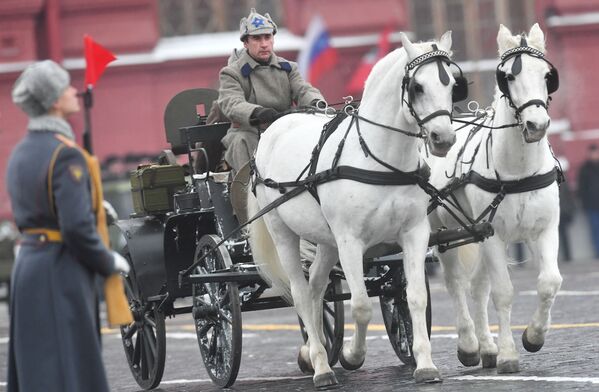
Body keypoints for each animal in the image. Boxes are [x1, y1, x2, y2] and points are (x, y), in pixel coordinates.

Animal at [248, 31, 464, 388]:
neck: (381, 160)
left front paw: (425, 365)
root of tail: (277, 124)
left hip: (326, 241)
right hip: (285, 234)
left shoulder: (414, 233)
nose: (443, 138)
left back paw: (316, 352)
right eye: (417, 87)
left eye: (452, 84)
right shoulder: (350, 241)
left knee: (316, 288)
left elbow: (416, 296)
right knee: (300, 292)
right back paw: (321, 367)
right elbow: (362, 305)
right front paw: (352, 354)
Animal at [426, 23, 564, 374]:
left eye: (547, 75)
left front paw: (533, 336)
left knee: (477, 285)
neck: (519, 170)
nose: (537, 125)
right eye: (509, 77)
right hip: (442, 230)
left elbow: (550, 282)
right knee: (456, 283)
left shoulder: (544, 229)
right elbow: (503, 292)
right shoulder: (493, 236)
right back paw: (469, 345)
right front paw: (508, 355)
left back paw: (486, 347)